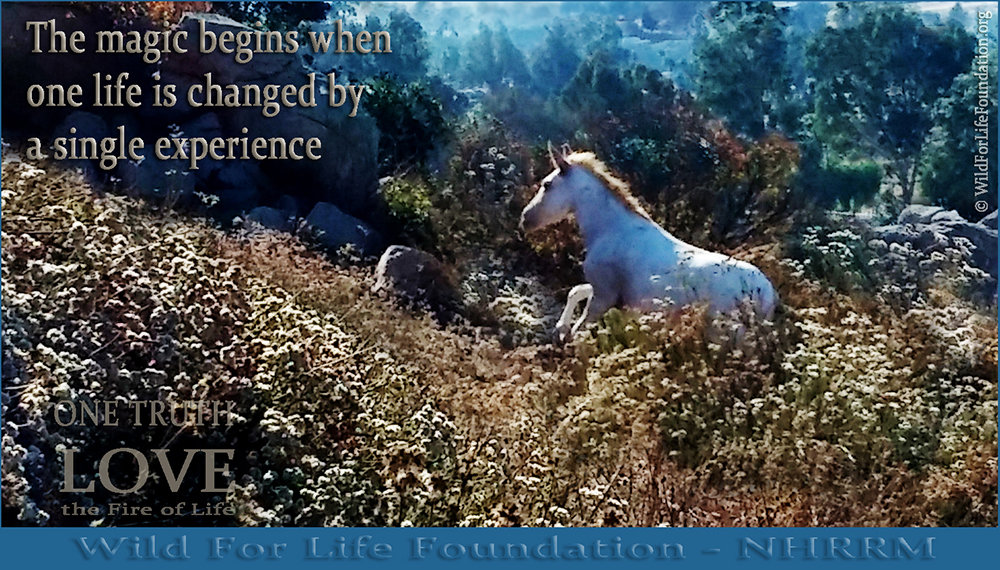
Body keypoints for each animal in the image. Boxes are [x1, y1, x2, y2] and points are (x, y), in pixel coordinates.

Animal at [520, 146, 778, 343]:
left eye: (547, 184)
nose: (525, 218)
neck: (613, 229)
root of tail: (766, 292)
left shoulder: (603, 296)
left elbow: (580, 330)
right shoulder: (614, 296)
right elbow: (576, 291)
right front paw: (559, 328)